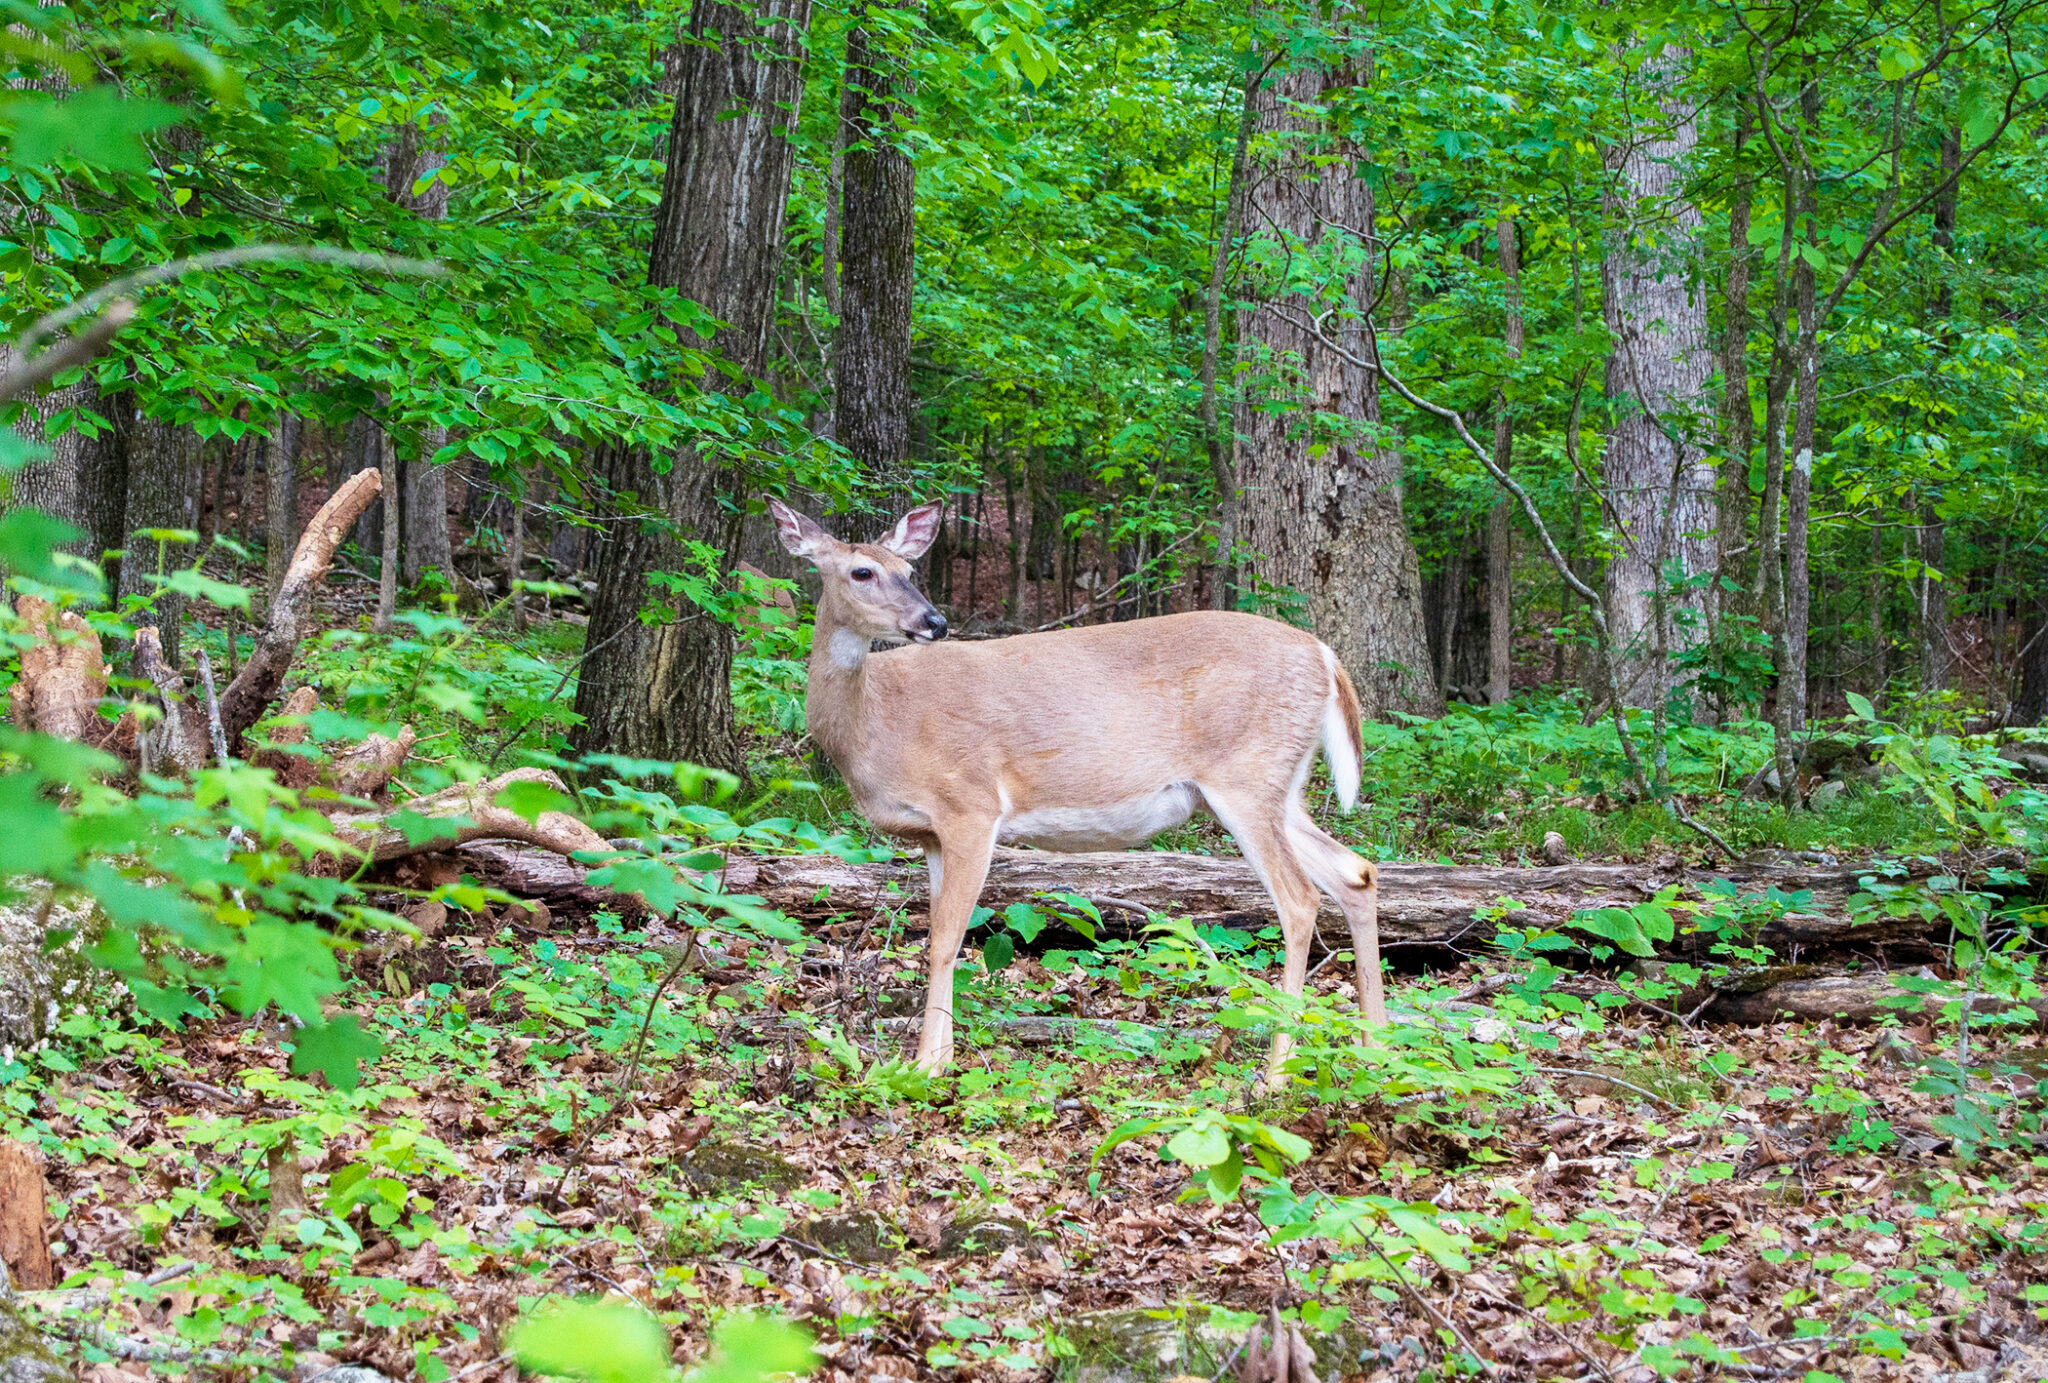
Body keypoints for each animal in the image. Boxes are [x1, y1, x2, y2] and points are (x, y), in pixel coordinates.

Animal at [767, 497, 1385, 1083]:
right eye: (863, 571)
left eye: (909, 568)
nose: (934, 621)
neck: (875, 724)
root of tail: (1326, 657)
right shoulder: (931, 835)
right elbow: (944, 938)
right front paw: (939, 1058)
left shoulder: (971, 805)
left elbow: (945, 940)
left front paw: (924, 1066)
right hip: (1277, 786)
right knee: (1356, 872)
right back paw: (1376, 1048)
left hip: (1247, 776)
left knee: (1300, 900)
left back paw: (1277, 1074)